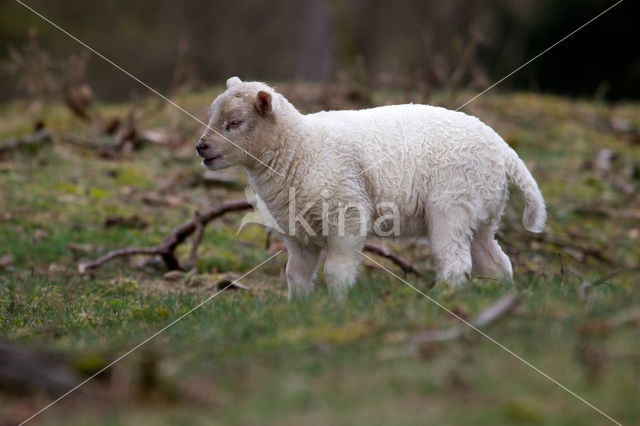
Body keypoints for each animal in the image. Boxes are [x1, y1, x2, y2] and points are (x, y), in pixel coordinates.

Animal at [195, 76, 544, 300]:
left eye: (235, 123)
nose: (201, 147)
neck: (299, 148)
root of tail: (503, 149)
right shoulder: (298, 230)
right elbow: (295, 275)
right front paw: (300, 308)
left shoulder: (346, 212)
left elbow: (336, 270)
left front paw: (337, 305)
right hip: (481, 209)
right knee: (496, 261)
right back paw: (499, 295)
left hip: (453, 203)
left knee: (455, 261)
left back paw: (443, 298)